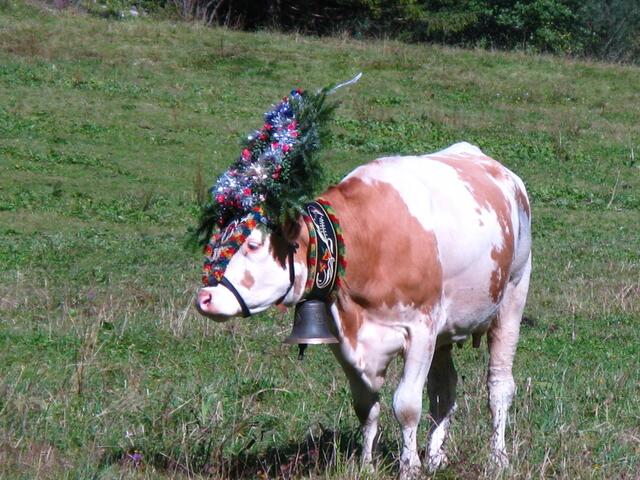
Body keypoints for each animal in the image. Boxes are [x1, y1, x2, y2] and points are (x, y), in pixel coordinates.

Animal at [196, 141, 532, 478]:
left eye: (253, 245)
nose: (205, 297)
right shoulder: (343, 339)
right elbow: (366, 407)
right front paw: (367, 465)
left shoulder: (421, 327)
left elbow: (407, 405)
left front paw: (409, 467)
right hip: (446, 332)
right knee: (444, 389)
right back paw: (436, 457)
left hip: (513, 294)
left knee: (499, 386)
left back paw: (497, 457)